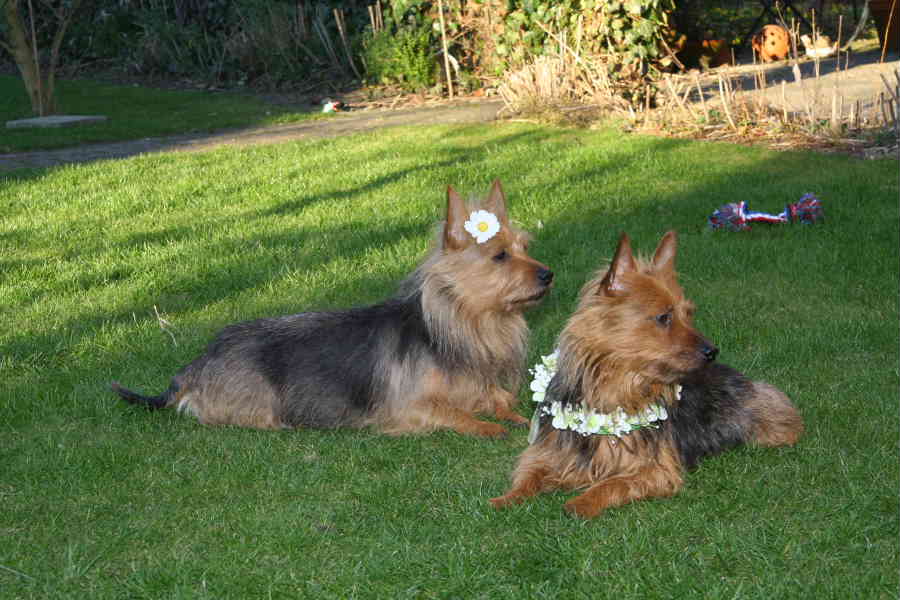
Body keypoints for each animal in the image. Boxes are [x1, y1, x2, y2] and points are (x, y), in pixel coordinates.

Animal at [110, 180, 552, 438]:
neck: (466, 323)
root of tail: (198, 362)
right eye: (499, 257)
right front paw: (489, 427)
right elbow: (460, 417)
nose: (549, 274)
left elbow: (499, 402)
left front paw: (513, 416)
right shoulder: (406, 408)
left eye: (525, 248)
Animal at [492, 232, 800, 516]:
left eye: (689, 313)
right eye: (664, 317)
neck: (615, 389)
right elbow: (528, 474)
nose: (713, 351)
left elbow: (611, 484)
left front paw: (581, 503)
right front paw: (506, 498)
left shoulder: (655, 471)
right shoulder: (548, 452)